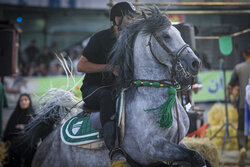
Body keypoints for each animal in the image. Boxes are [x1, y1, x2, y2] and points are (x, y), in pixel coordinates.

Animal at [26, 7, 207, 167]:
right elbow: (195, 156)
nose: (195, 63)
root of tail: (46, 142)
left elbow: (197, 157)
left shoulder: (178, 142)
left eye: (179, 34)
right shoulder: (152, 149)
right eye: (166, 36)